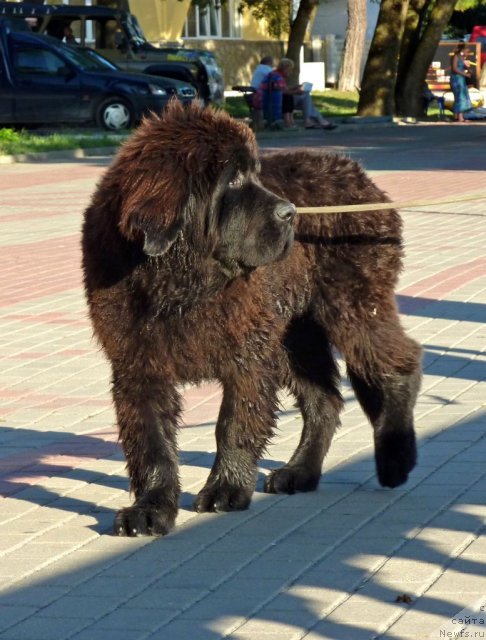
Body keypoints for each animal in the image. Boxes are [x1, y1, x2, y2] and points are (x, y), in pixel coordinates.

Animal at [81, 102, 420, 536]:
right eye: (235, 178)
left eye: (255, 174)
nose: (291, 212)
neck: (176, 282)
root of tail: (359, 175)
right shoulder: (137, 361)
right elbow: (150, 438)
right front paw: (151, 508)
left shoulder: (248, 352)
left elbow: (233, 423)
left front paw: (226, 489)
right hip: (294, 335)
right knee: (324, 398)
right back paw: (300, 472)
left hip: (351, 307)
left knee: (398, 361)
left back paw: (395, 458)